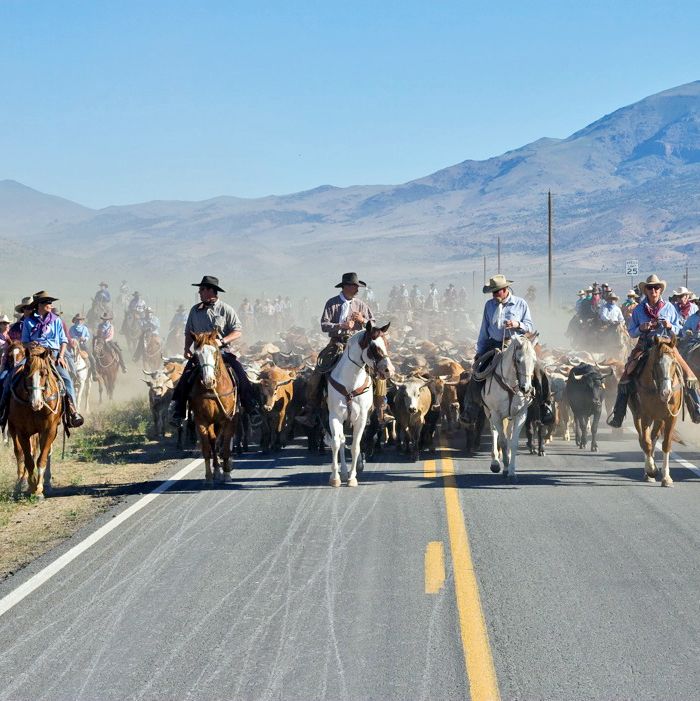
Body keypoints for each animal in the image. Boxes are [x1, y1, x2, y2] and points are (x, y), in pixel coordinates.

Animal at [8, 346, 64, 498]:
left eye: (44, 373)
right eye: (27, 373)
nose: (36, 403)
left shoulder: (49, 430)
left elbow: (42, 458)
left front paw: (39, 488)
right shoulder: (22, 432)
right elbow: (28, 459)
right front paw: (31, 485)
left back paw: (46, 482)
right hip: (13, 428)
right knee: (19, 452)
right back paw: (21, 482)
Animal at [189, 330, 238, 484]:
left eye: (215, 351)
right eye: (196, 354)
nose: (208, 381)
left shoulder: (229, 419)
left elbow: (226, 445)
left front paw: (227, 473)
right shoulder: (201, 421)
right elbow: (207, 448)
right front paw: (209, 476)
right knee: (213, 441)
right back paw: (216, 469)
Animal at [326, 322, 394, 486]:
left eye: (387, 344)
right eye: (374, 347)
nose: (389, 370)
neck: (350, 383)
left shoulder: (362, 418)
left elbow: (356, 446)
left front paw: (352, 477)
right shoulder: (335, 416)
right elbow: (336, 443)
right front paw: (335, 477)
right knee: (342, 441)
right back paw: (344, 472)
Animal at [478, 334, 540, 482]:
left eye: (534, 360)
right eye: (518, 360)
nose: (526, 388)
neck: (511, 386)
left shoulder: (521, 415)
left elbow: (513, 442)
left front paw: (512, 471)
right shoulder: (496, 414)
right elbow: (503, 441)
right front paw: (505, 468)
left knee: (509, 433)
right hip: (489, 412)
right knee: (494, 432)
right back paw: (495, 462)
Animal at [628, 334, 680, 486]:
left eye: (674, 362)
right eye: (656, 363)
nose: (666, 393)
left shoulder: (670, 417)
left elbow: (666, 444)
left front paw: (666, 477)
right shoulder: (645, 415)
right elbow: (646, 442)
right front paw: (651, 470)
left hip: (659, 419)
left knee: (654, 437)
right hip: (638, 416)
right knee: (644, 440)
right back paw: (649, 473)